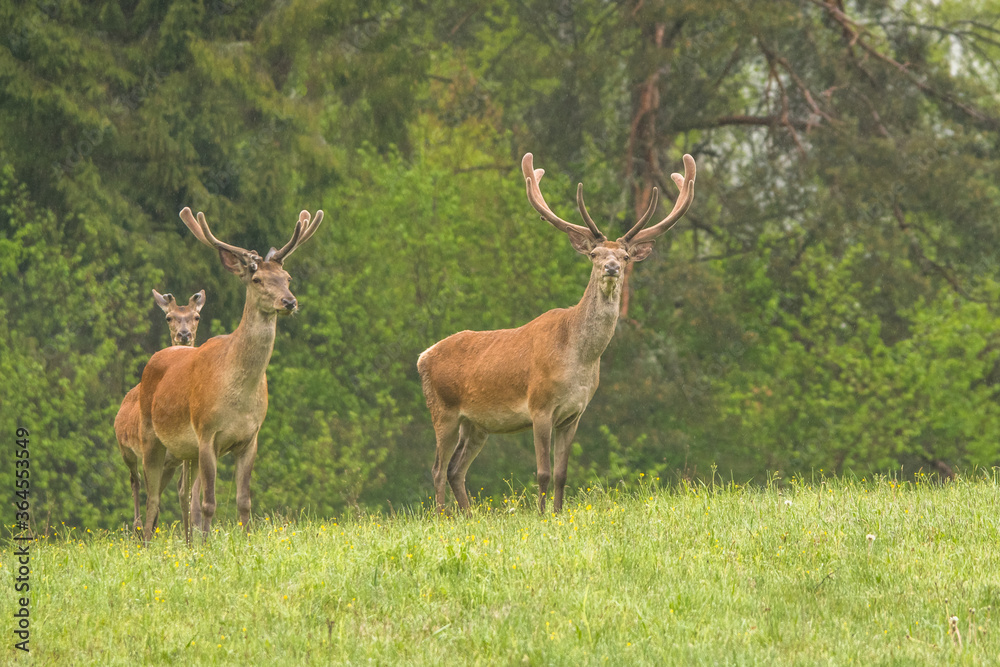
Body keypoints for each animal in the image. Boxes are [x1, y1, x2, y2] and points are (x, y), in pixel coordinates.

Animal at [115, 289, 205, 531]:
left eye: (196, 317)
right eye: (169, 317)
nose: (184, 335)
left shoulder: (177, 458)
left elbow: (187, 491)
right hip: (126, 448)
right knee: (134, 480)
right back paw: (136, 525)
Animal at [137, 206, 322, 544]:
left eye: (287, 278)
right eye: (257, 279)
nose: (289, 302)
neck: (238, 393)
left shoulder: (250, 438)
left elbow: (243, 500)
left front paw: (246, 541)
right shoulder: (207, 432)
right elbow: (210, 502)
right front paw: (208, 546)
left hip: (188, 452)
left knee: (185, 495)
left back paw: (189, 542)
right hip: (151, 436)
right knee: (153, 498)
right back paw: (147, 545)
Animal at [418, 152, 696, 514]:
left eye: (624, 255)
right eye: (594, 254)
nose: (611, 267)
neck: (578, 358)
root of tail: (423, 357)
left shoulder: (573, 414)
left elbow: (562, 473)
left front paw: (559, 513)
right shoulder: (539, 407)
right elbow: (542, 472)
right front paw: (540, 515)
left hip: (476, 423)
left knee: (455, 469)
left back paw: (468, 516)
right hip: (443, 410)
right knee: (438, 468)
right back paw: (443, 517)